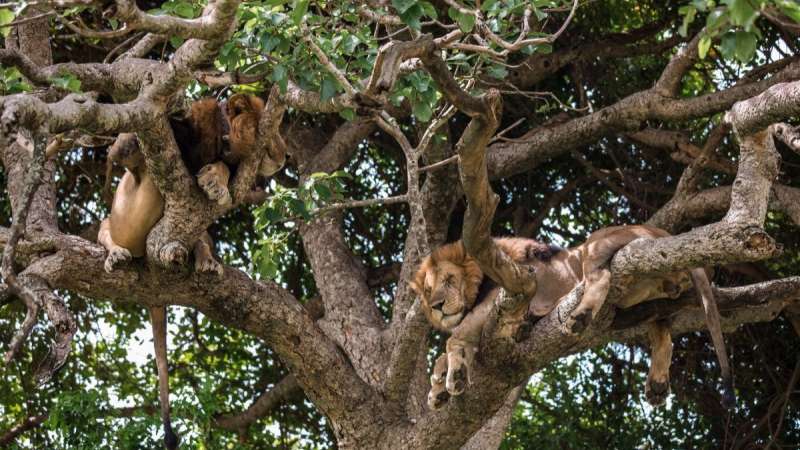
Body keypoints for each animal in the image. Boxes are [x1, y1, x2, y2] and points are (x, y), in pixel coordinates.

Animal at [411, 225, 733, 410]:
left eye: (449, 280)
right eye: (428, 290)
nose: (437, 305)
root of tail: (665, 234)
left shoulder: (503, 297)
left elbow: (453, 340)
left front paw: (452, 377)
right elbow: (446, 352)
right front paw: (438, 388)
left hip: (595, 246)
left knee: (601, 278)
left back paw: (577, 316)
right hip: (647, 302)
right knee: (663, 331)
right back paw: (656, 384)